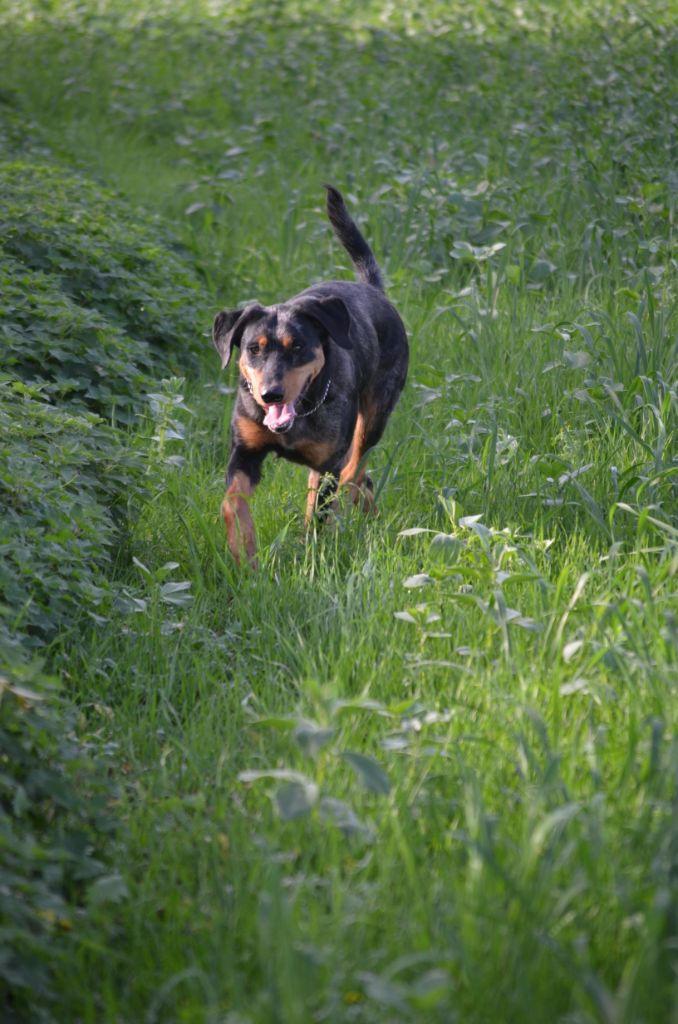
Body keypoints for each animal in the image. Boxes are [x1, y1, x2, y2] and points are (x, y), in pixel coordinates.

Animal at [214, 188, 409, 565]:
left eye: (298, 346)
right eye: (253, 348)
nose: (271, 394)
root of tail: (374, 291)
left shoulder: (331, 457)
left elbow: (322, 508)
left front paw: (310, 553)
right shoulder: (245, 451)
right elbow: (233, 501)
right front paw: (244, 553)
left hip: (375, 413)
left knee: (356, 469)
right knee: (357, 479)